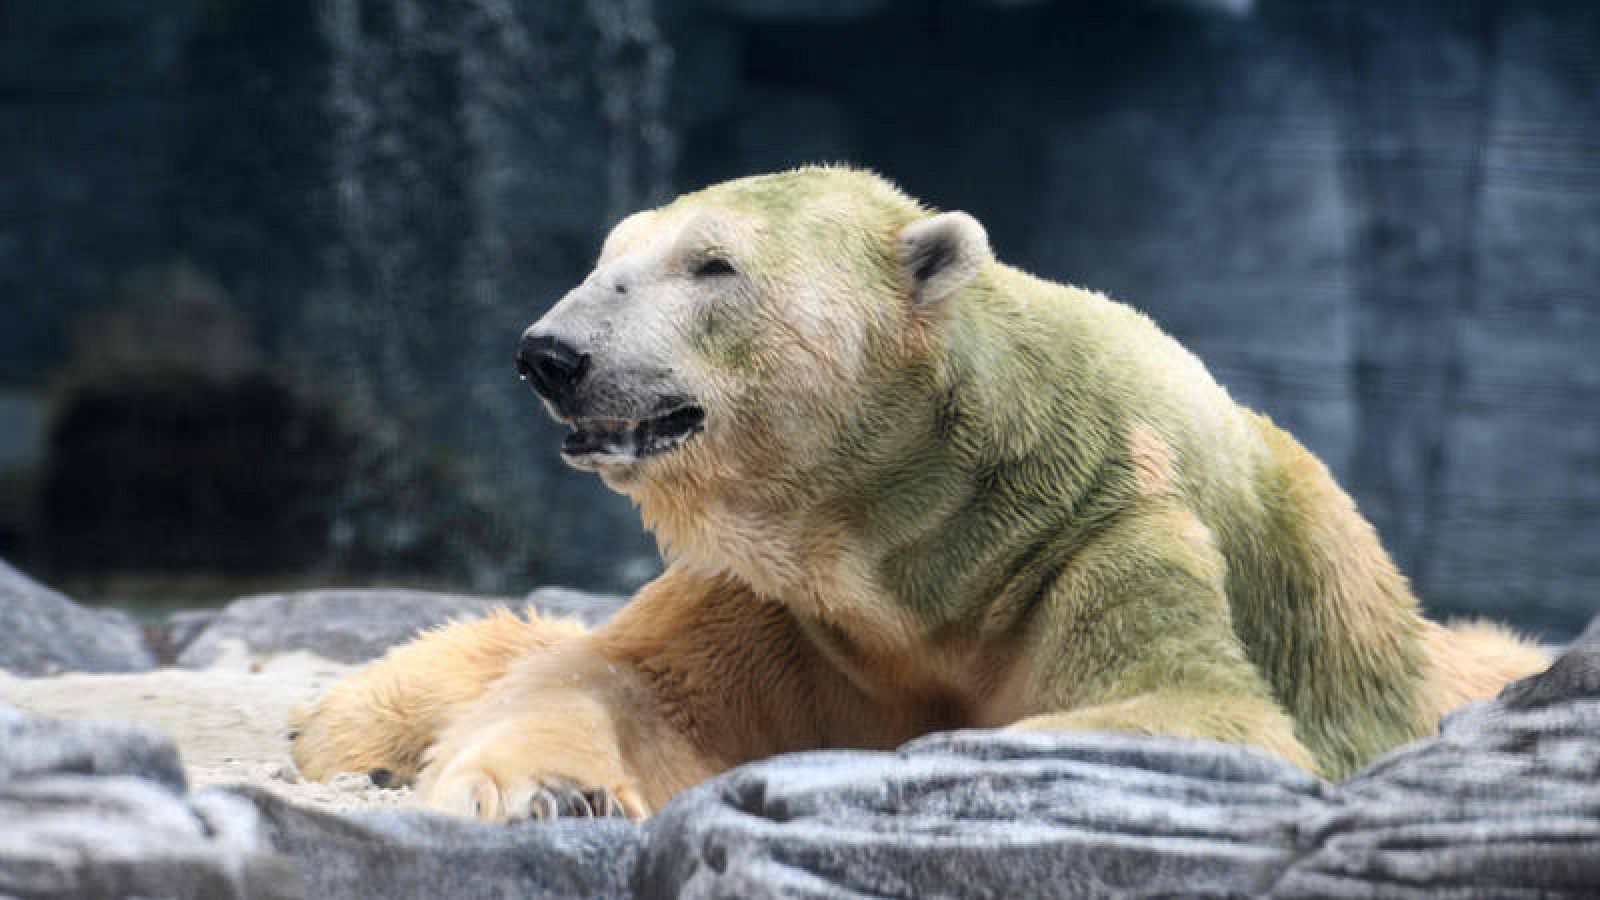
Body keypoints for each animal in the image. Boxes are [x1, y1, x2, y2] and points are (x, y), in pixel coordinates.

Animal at [291, 166, 1548, 821]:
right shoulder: (785, 597)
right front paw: (549, 792)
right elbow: (622, 685)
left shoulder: (1112, 539)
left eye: (711, 264)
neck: (929, 543)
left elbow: (1197, 710)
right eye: (607, 260)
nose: (551, 355)